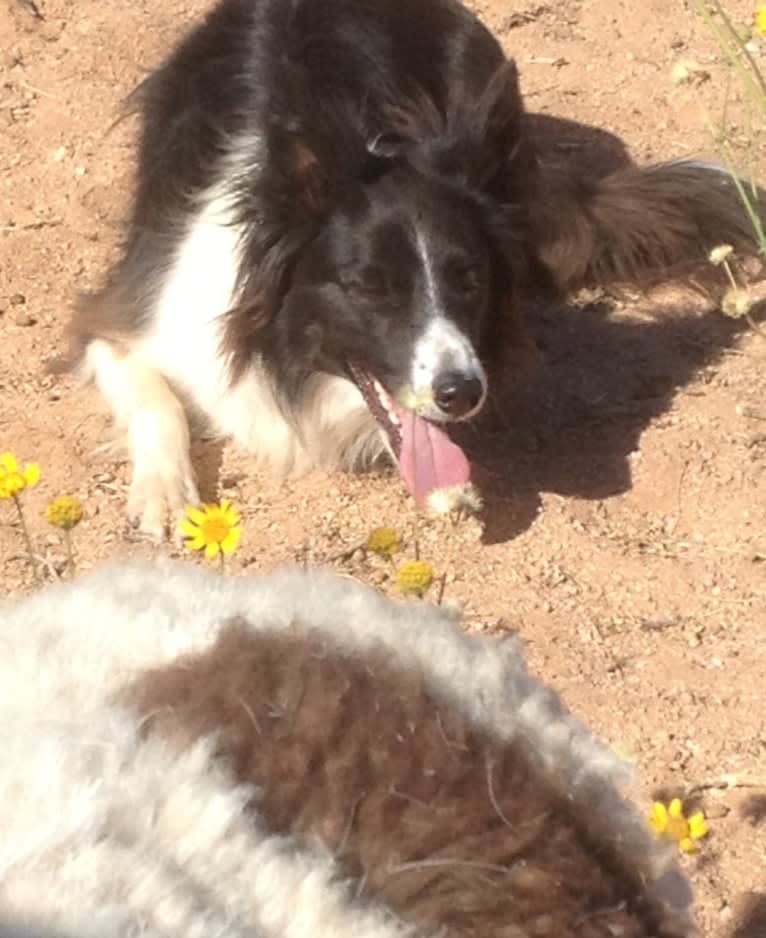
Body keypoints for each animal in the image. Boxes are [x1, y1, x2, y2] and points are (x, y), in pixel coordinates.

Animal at [70, 0, 760, 532]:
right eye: (369, 286)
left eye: (471, 279)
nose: (462, 393)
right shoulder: (127, 314)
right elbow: (155, 398)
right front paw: (165, 493)